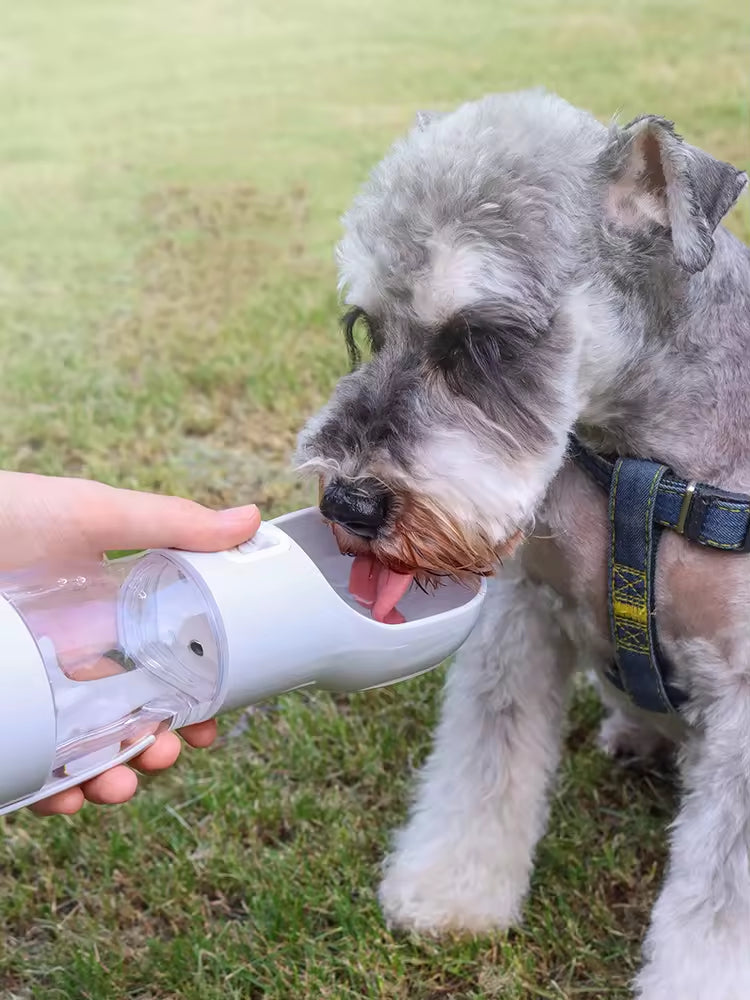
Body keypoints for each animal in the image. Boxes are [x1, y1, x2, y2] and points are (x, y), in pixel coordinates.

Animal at [296, 90, 750, 996]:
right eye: (366, 327)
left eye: (481, 342)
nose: (347, 501)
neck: (639, 465)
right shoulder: (523, 613)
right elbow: (486, 759)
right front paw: (451, 890)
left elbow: (725, 887)